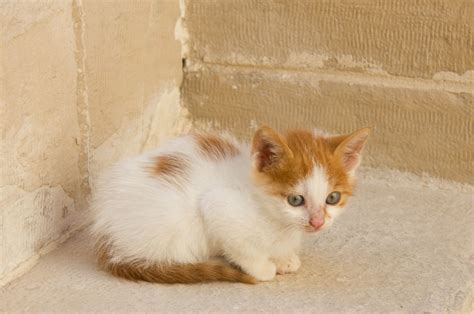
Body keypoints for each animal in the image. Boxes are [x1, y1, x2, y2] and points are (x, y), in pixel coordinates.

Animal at [90, 125, 368, 284]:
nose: (318, 222)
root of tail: (106, 235)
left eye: (332, 198)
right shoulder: (218, 206)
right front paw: (263, 267)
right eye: (295, 200)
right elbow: (241, 246)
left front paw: (283, 257)